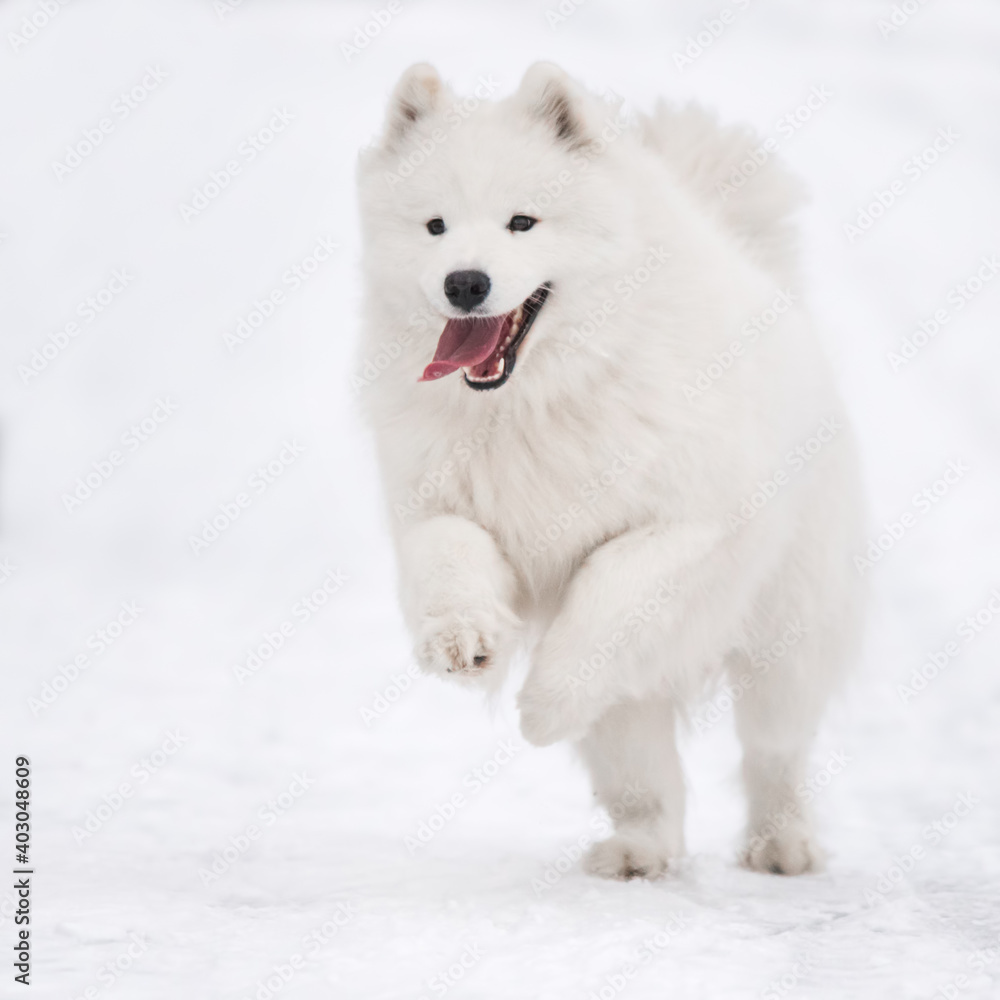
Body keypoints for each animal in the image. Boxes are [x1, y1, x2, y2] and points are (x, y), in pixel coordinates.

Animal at [356, 62, 864, 880]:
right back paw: (638, 853)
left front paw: (542, 705)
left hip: (786, 636)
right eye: (434, 226)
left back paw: (781, 845)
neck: (540, 398)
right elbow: (450, 555)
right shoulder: (438, 503)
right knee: (642, 772)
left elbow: (607, 590)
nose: (464, 283)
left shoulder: (687, 529)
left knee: (774, 749)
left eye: (522, 223)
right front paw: (463, 641)